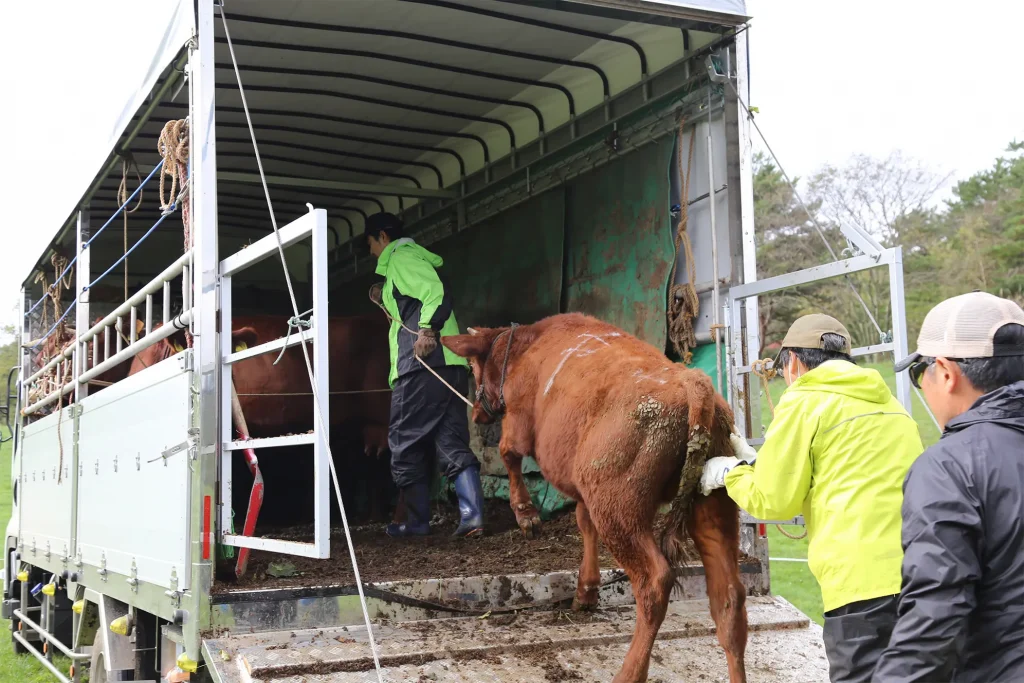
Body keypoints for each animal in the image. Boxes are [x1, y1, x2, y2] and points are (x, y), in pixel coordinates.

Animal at [444, 313, 749, 683]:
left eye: (472, 366)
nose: (477, 414)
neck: (528, 345)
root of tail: (691, 382)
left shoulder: (518, 423)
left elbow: (509, 454)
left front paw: (526, 515)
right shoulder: (583, 488)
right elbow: (583, 522)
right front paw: (586, 591)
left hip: (618, 510)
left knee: (654, 582)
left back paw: (630, 672)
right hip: (713, 510)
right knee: (729, 599)